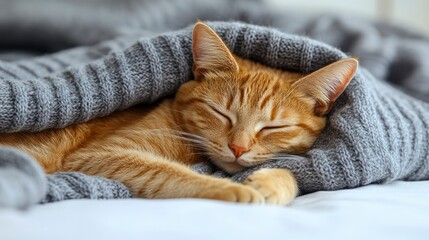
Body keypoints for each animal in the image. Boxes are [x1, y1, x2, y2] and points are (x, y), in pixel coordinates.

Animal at [0, 22, 358, 205]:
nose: (238, 148)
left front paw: (269, 184)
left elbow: (289, 172)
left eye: (273, 127)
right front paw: (238, 190)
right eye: (221, 114)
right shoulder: (101, 156)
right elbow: (171, 173)